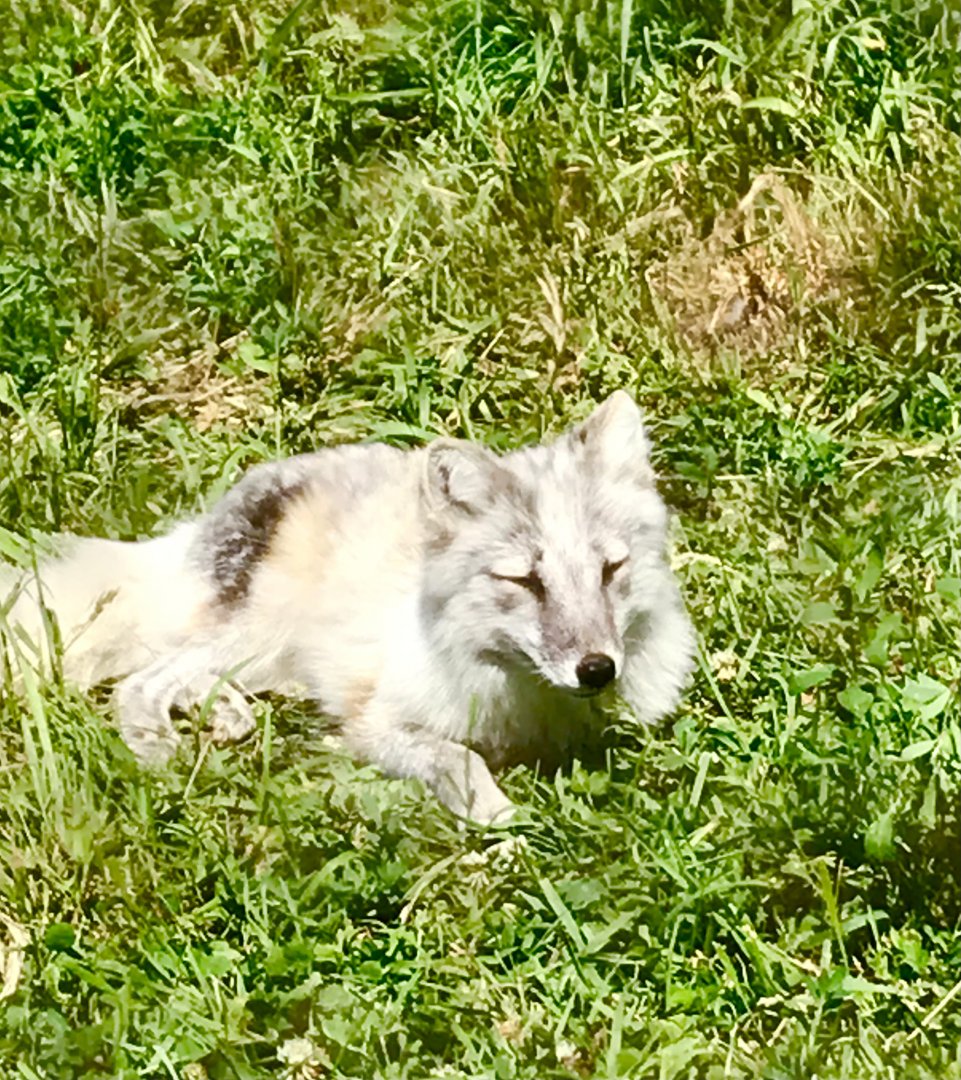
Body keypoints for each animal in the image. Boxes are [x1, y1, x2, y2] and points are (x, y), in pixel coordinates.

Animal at [0, 391, 694, 824]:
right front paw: (500, 821)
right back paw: (160, 752)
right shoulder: (373, 721)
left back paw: (225, 712)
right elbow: (460, 758)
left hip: (266, 654)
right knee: (141, 680)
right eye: (525, 581)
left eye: (610, 570)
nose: (597, 669)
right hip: (260, 630)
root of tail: (190, 535)